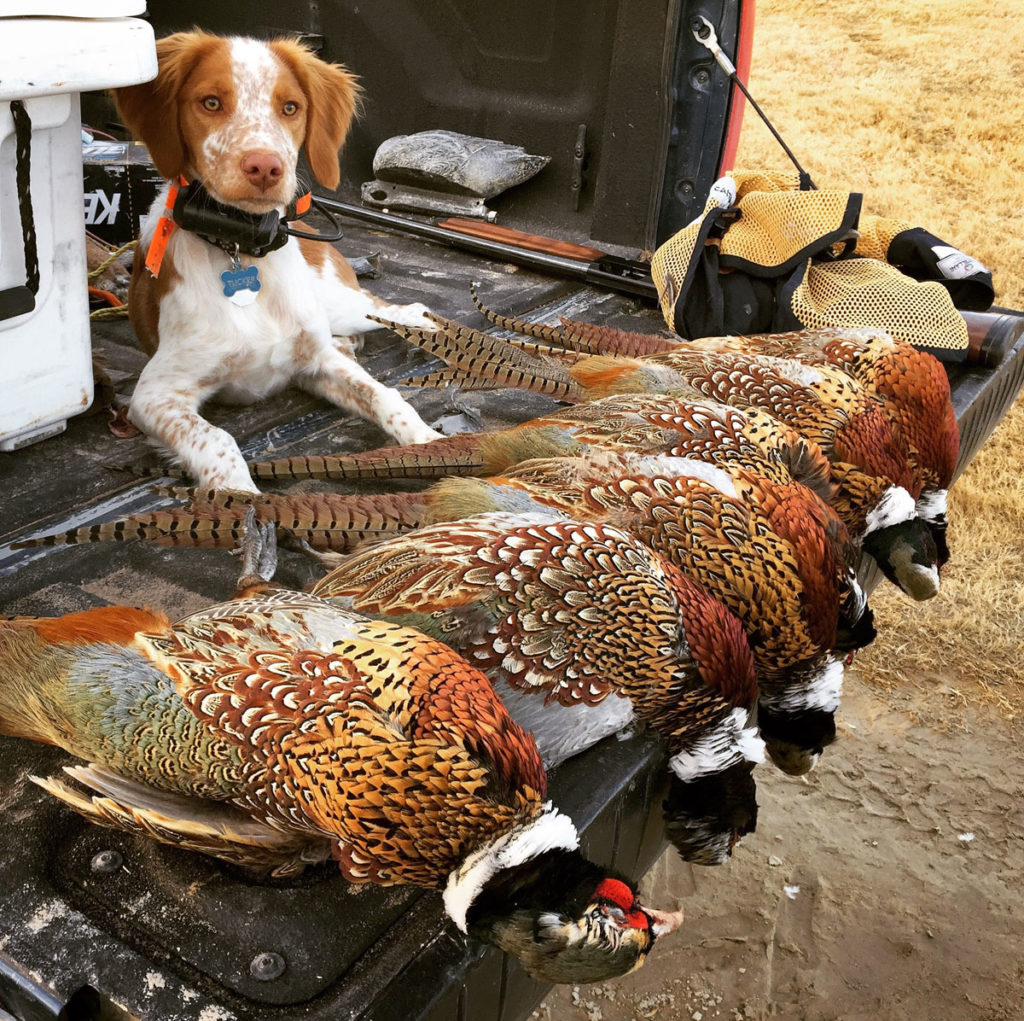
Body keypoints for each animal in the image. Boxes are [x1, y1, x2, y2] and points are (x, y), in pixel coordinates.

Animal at [113, 32, 440, 493]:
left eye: (290, 108)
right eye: (210, 102)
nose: (266, 167)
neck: (240, 251)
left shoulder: (318, 361)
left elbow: (384, 395)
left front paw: (433, 444)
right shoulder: (155, 395)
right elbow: (218, 439)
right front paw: (240, 496)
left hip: (341, 303)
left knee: (399, 308)